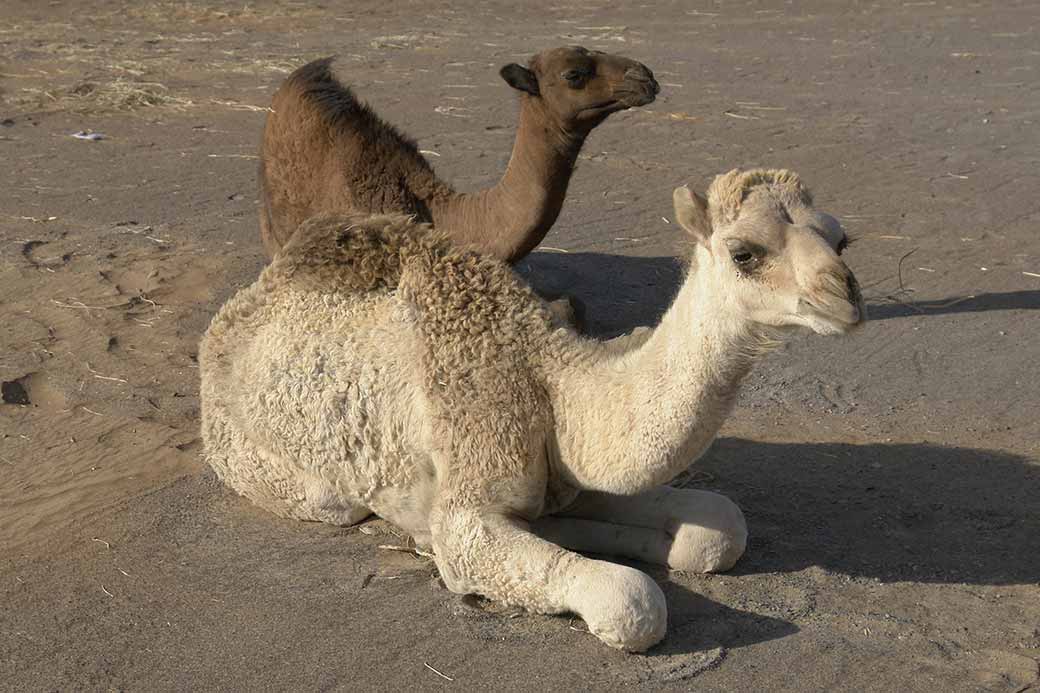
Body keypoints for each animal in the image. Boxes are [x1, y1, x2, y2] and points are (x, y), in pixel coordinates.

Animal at [200, 168, 865, 652]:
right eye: (744, 253)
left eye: (841, 238)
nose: (846, 295)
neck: (551, 383)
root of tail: (230, 317)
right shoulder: (470, 502)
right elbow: (632, 602)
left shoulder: (571, 473)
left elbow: (719, 530)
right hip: (272, 472)